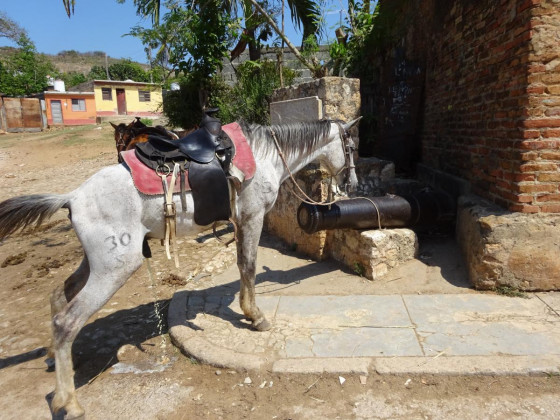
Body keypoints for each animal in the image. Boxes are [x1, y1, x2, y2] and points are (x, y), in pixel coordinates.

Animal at [0, 117, 358, 416]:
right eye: (351, 147)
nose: (352, 183)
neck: (263, 154)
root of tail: (72, 197)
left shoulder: (241, 222)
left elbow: (242, 264)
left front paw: (248, 310)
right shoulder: (253, 218)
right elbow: (250, 266)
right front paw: (255, 317)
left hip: (95, 264)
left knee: (59, 296)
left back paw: (53, 360)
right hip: (115, 269)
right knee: (66, 322)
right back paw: (69, 402)